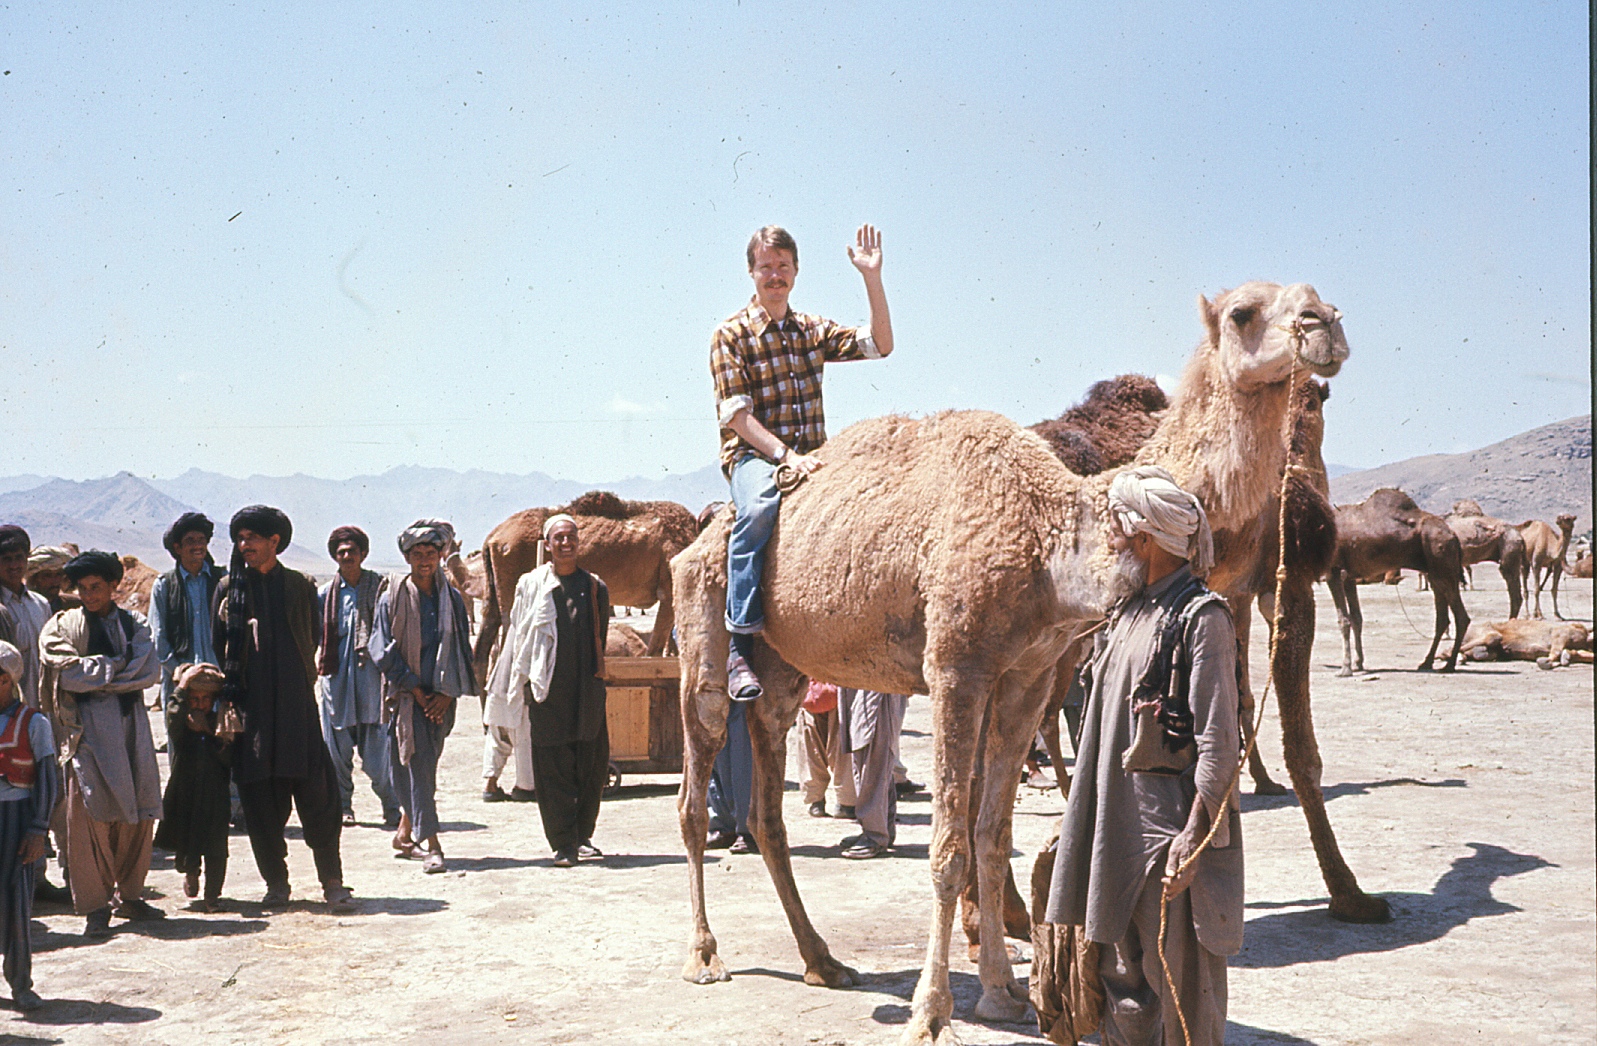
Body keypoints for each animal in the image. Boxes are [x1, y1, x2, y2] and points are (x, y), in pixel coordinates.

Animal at [667, 281, 1367, 1046]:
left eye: (1315, 298)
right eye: (1243, 313)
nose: (1324, 327)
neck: (1051, 533)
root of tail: (698, 538)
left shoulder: (1026, 678)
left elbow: (991, 835)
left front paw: (1003, 993)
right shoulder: (956, 668)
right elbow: (947, 846)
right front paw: (930, 1011)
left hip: (785, 673)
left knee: (767, 808)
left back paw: (822, 960)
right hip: (702, 639)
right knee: (694, 795)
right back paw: (703, 955)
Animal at [1322, 488, 1469, 673]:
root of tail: (1453, 534)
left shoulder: (1333, 571)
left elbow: (1344, 620)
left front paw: (1345, 668)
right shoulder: (1349, 576)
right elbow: (1356, 618)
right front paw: (1358, 664)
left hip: (1443, 562)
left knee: (1461, 617)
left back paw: (1449, 665)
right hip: (1436, 572)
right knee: (1442, 618)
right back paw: (1426, 663)